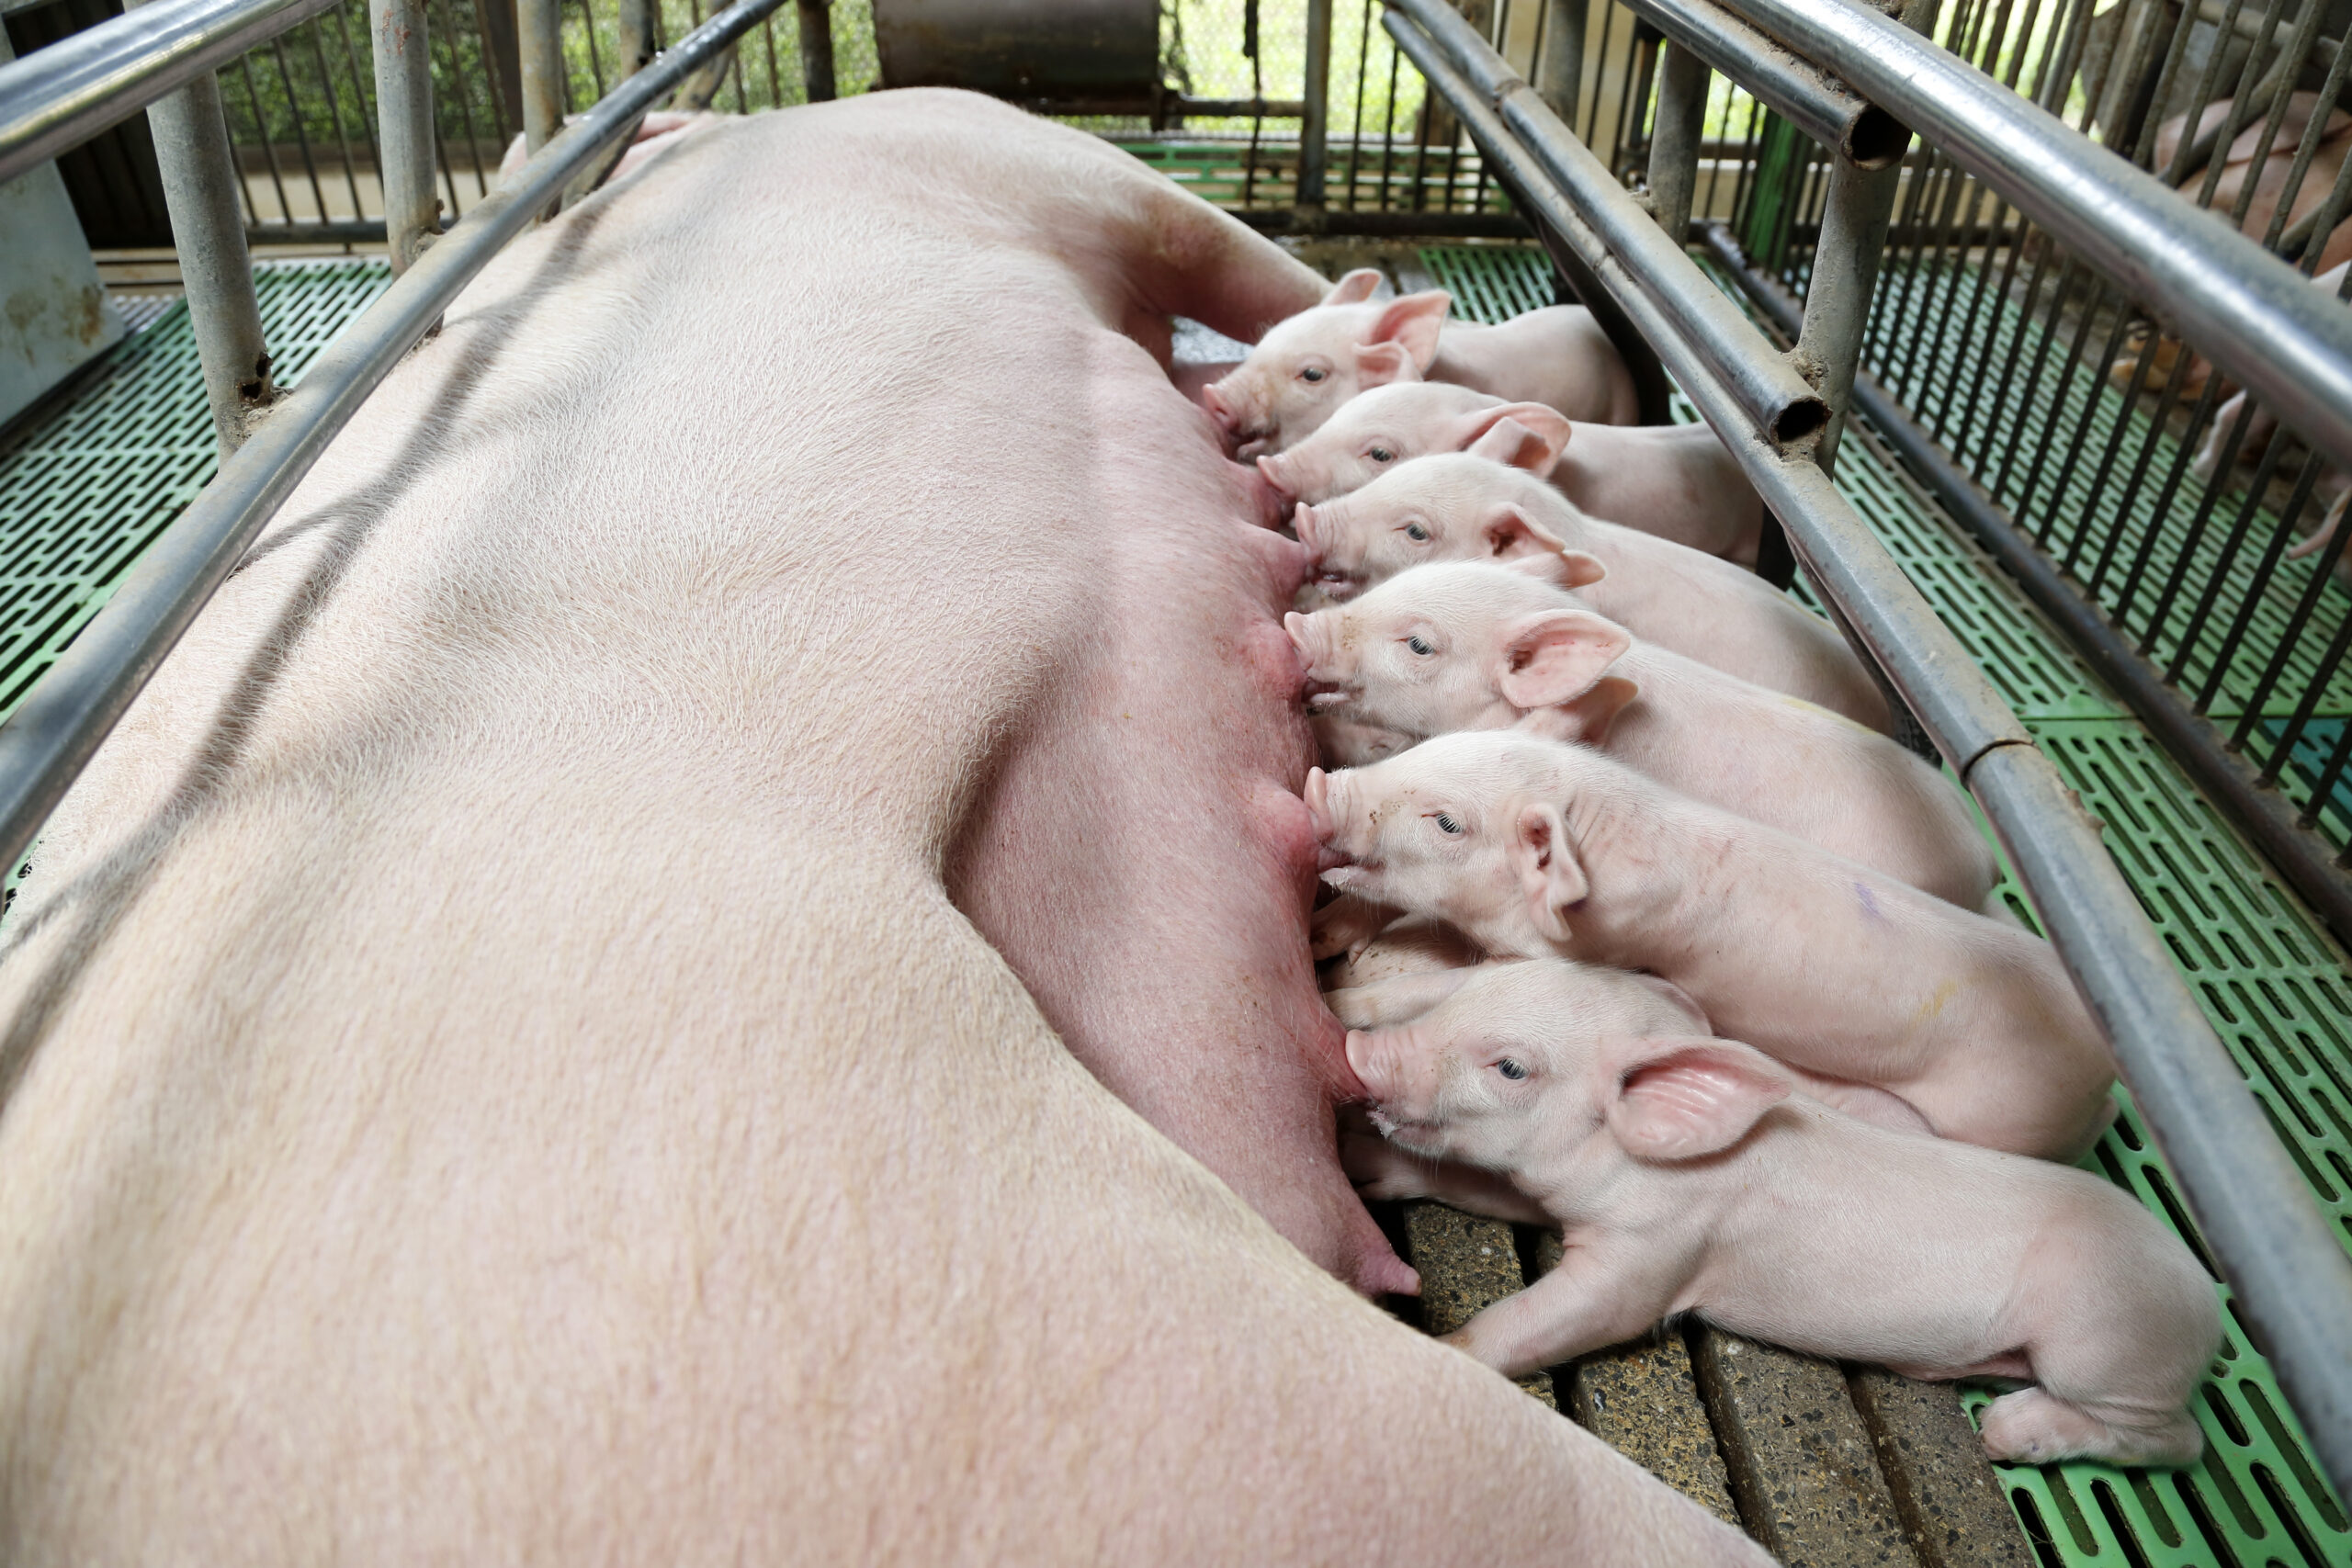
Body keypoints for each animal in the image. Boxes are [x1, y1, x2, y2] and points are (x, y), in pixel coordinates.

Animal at [1304, 729, 2117, 1160]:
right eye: (1428, 745)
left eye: (1448, 823)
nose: (1319, 782)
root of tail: (2104, 1077)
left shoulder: (1562, 958)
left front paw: (1333, 996)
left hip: (2001, 1114)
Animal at [1340, 959, 2220, 1468]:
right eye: (1460, 990)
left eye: (1511, 1067)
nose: (1358, 1050)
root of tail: (2207, 1297)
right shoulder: (1544, 1190)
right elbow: (1468, 1182)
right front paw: (1355, 1159)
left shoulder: (1657, 1251)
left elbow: (1559, 1316)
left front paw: (1433, 1348)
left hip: (2103, 1340)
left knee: (2179, 1440)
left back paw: (2005, 1434)